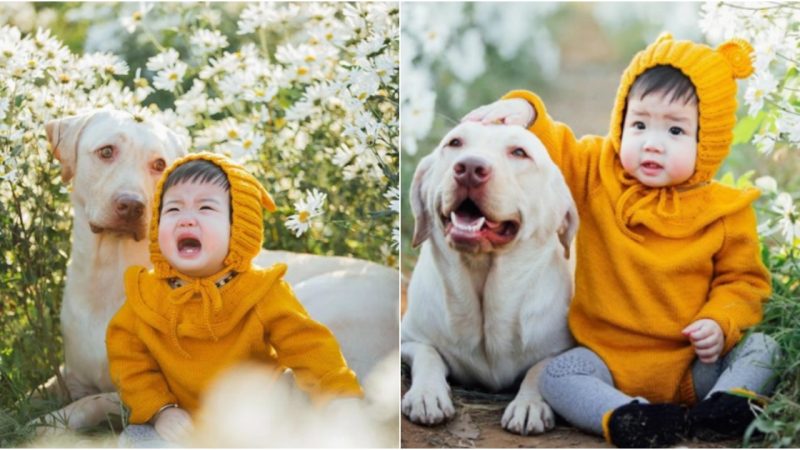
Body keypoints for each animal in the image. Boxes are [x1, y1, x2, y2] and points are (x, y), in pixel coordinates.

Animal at [39, 109, 396, 432]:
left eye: (159, 165)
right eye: (106, 152)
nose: (131, 205)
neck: (108, 275)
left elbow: (94, 402)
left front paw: (48, 424)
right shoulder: (71, 372)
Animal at [404, 122, 580, 436]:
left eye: (519, 152)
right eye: (454, 143)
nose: (469, 168)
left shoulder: (563, 349)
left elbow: (539, 369)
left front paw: (528, 404)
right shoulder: (410, 339)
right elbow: (427, 354)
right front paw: (427, 394)